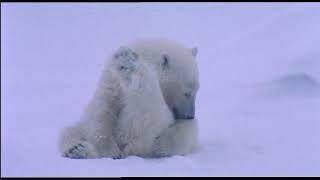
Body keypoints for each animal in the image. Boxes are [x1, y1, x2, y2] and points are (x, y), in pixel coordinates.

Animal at [57, 38, 198, 159]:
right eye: (187, 93)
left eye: (196, 90)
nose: (190, 116)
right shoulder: (111, 82)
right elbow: (102, 112)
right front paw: (108, 150)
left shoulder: (160, 122)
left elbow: (149, 118)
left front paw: (129, 64)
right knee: (71, 130)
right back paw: (77, 149)